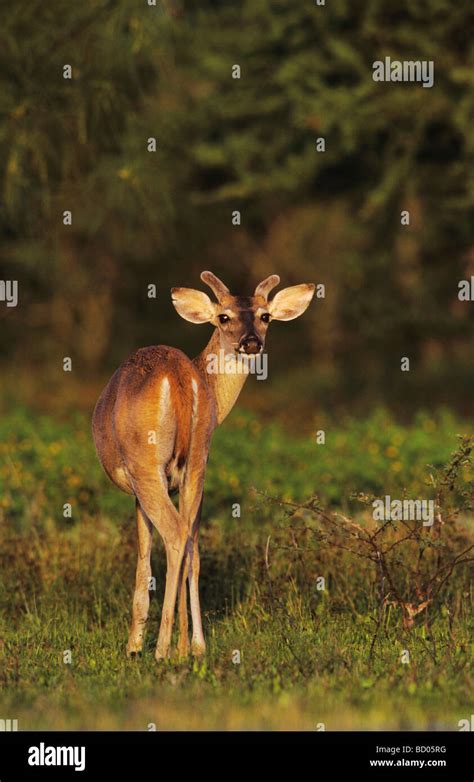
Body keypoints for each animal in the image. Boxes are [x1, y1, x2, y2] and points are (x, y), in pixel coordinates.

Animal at [91, 272, 314, 664]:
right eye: (224, 317)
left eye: (265, 316)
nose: (251, 342)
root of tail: (182, 379)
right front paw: (190, 645)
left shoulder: (137, 485)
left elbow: (144, 553)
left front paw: (136, 643)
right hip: (198, 461)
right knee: (191, 542)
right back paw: (191, 645)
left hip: (145, 463)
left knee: (175, 533)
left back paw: (161, 648)